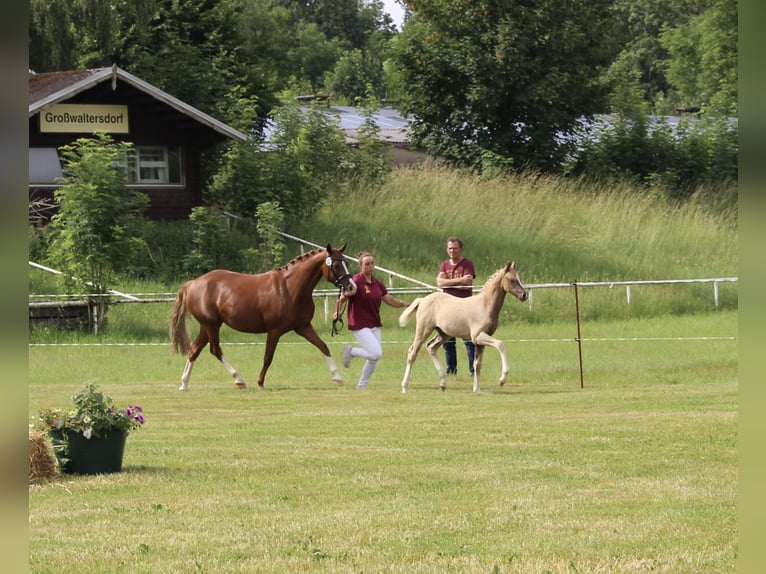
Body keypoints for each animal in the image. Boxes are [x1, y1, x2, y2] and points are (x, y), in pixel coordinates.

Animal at [169, 243, 356, 391]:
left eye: (346, 263)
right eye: (336, 265)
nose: (351, 287)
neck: (290, 288)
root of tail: (192, 283)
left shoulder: (303, 327)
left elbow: (323, 346)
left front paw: (337, 378)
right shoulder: (274, 330)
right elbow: (268, 357)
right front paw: (260, 383)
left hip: (208, 326)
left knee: (194, 350)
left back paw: (184, 384)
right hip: (211, 325)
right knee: (215, 350)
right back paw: (239, 379)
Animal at [398, 260, 528, 394]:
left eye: (519, 278)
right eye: (512, 280)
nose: (524, 295)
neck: (485, 305)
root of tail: (422, 300)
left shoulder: (479, 341)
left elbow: (477, 364)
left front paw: (477, 389)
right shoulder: (478, 336)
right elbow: (500, 345)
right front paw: (502, 379)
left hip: (444, 334)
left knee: (431, 347)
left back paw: (443, 383)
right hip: (423, 330)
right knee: (412, 353)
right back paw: (404, 387)